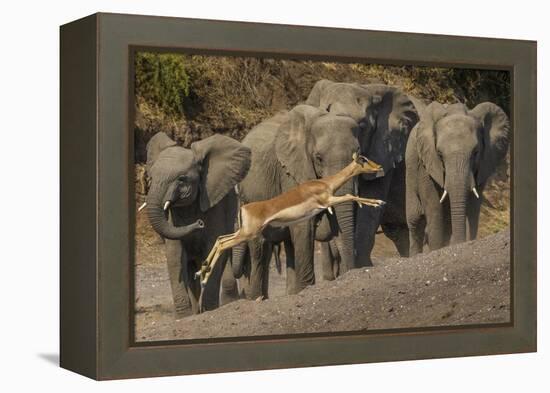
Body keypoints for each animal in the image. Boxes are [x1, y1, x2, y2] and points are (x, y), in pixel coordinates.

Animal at [231, 104, 368, 298]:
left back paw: (290, 293)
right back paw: (256, 298)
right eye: (318, 158)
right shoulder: (290, 171)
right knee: (259, 248)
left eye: (359, 154)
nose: (351, 271)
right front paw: (307, 288)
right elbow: (303, 225)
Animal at [406, 102, 512, 254]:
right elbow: (434, 207)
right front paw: (437, 249)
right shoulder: (426, 164)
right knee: (416, 219)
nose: (458, 243)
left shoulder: (484, 163)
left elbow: (473, 205)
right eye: (439, 154)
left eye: (476, 152)